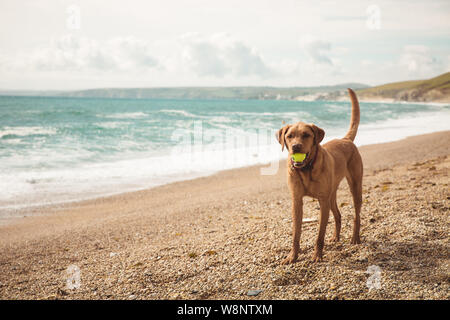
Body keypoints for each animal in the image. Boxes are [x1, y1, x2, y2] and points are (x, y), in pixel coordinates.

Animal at [276, 87, 364, 262]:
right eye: (289, 136)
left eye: (306, 135)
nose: (296, 146)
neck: (306, 169)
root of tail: (345, 140)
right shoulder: (296, 201)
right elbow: (296, 233)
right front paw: (292, 255)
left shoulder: (322, 201)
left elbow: (319, 234)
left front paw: (317, 255)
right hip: (331, 193)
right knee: (338, 215)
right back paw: (336, 237)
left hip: (355, 186)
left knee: (356, 214)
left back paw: (355, 238)